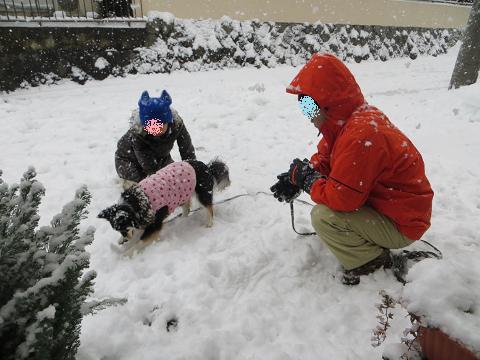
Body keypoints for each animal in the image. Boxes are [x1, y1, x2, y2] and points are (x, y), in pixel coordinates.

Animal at [98, 158, 231, 256]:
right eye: (118, 230)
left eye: (124, 228)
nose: (125, 239)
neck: (134, 203)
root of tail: (207, 167)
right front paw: (121, 240)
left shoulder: (154, 224)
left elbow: (140, 241)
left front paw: (126, 254)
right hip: (183, 193)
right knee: (187, 207)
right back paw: (182, 219)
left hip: (202, 193)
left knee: (209, 208)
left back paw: (209, 223)